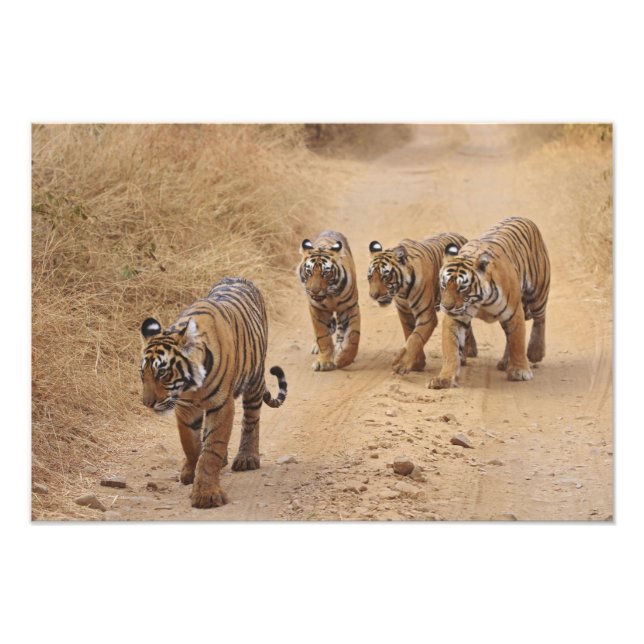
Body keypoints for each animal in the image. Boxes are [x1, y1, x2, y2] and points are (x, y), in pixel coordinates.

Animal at [139, 277, 287, 509]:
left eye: (162, 373)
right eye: (142, 374)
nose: (147, 403)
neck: (191, 386)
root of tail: (238, 278)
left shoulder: (221, 405)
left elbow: (211, 450)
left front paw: (205, 495)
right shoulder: (185, 408)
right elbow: (191, 444)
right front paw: (190, 472)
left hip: (254, 380)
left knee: (251, 420)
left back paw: (247, 458)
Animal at [297, 230, 361, 371]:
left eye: (325, 273)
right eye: (308, 272)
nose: (314, 291)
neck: (330, 295)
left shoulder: (350, 307)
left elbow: (353, 335)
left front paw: (343, 359)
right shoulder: (317, 309)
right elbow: (323, 337)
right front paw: (325, 362)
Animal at [367, 233, 478, 375]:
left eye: (385, 277)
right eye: (370, 277)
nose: (373, 295)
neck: (403, 291)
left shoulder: (427, 316)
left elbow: (416, 338)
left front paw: (402, 364)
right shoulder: (404, 313)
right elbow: (410, 334)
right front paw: (418, 363)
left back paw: (464, 356)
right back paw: (471, 351)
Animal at [428, 216, 550, 389]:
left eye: (462, 288)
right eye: (444, 284)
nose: (446, 307)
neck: (480, 301)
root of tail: (523, 217)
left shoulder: (514, 313)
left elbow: (517, 342)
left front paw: (519, 371)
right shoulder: (456, 317)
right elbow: (451, 349)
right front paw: (444, 378)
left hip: (538, 292)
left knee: (540, 318)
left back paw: (535, 352)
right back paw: (505, 362)